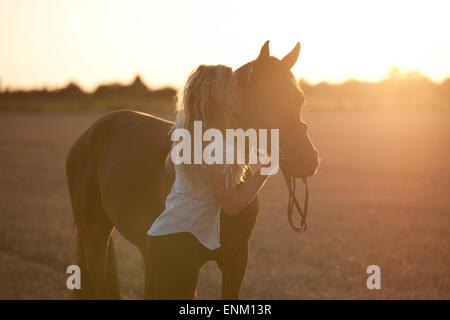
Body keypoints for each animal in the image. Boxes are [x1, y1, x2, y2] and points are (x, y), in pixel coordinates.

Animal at [66, 40, 320, 300]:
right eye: (268, 99)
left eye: (300, 99)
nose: (307, 159)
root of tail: (90, 133)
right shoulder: (188, 267)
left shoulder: (237, 260)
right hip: (96, 237)